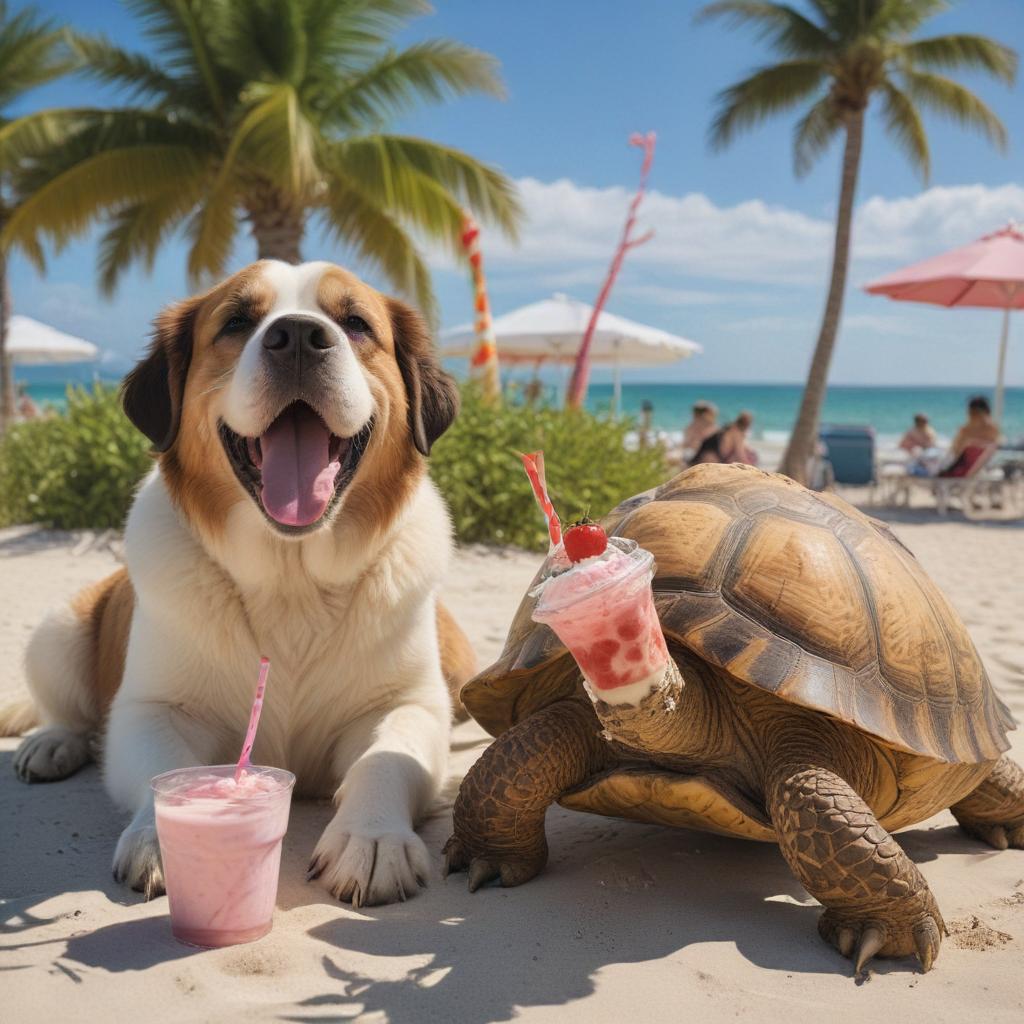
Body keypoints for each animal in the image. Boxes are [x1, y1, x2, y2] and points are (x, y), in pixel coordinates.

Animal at [4, 260, 475, 909]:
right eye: (236, 322)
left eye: (355, 322)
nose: (299, 336)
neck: (290, 578)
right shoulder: (151, 710)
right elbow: (161, 764)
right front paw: (167, 839)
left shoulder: (408, 704)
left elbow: (387, 758)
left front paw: (373, 835)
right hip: (58, 631)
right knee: (66, 708)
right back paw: (52, 742)